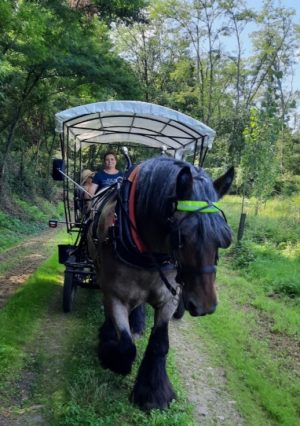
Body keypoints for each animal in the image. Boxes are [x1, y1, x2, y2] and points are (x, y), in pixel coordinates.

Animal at [88, 156, 233, 410]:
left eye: (224, 238)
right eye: (182, 237)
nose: (205, 306)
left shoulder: (169, 298)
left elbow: (159, 343)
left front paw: (154, 393)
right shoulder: (115, 295)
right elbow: (126, 347)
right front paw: (110, 356)